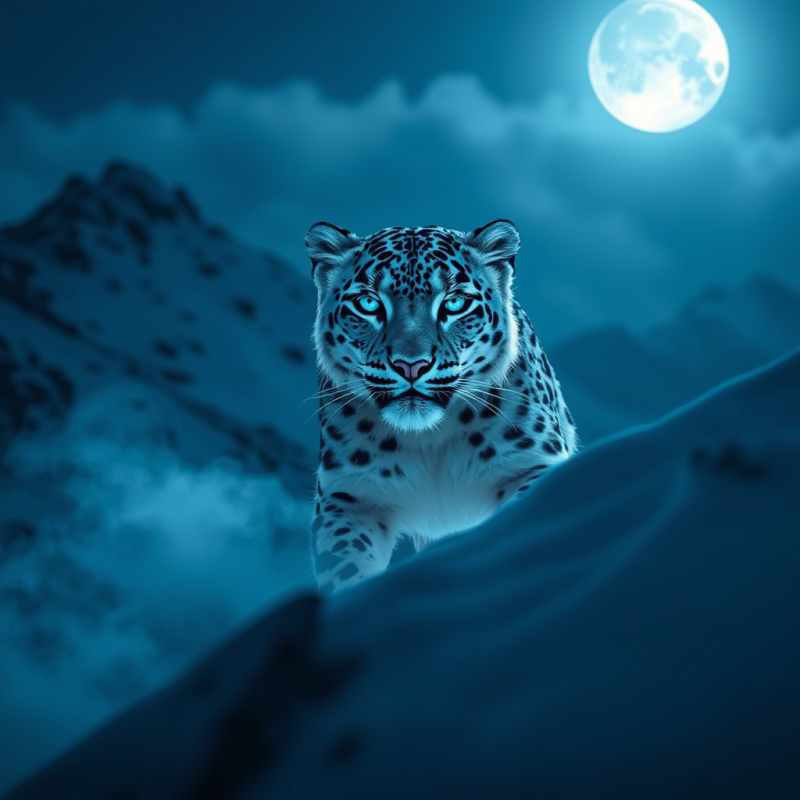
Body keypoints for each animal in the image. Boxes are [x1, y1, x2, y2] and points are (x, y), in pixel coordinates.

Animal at [306, 219, 577, 593]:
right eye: (368, 304)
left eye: (455, 304)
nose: (411, 366)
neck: (428, 441)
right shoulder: (348, 497)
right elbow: (344, 566)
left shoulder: (532, 466)